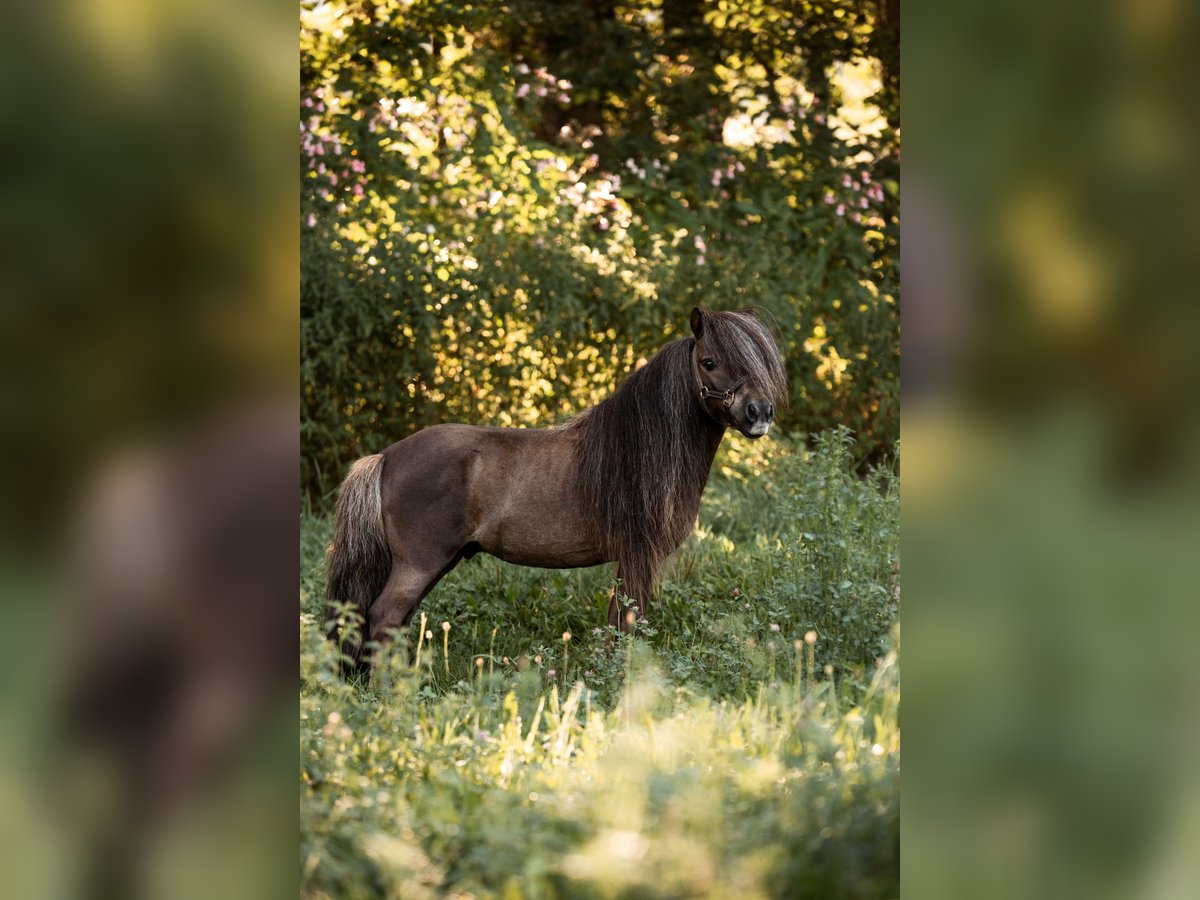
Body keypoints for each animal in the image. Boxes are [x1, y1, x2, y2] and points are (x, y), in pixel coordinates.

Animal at [326, 309, 787, 672]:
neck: (635, 449)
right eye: (709, 361)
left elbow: (618, 623)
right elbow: (628, 623)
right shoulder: (639, 555)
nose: (759, 413)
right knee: (384, 619)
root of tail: (386, 457)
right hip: (420, 563)